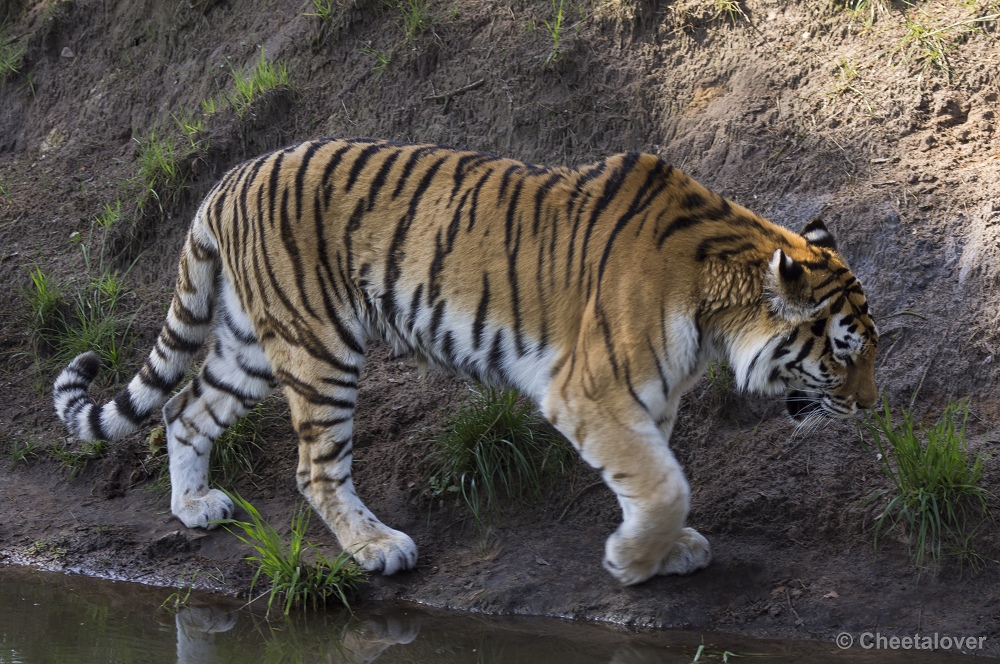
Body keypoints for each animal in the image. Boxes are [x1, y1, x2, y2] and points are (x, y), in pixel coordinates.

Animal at [50, 137, 880, 584]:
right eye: (842, 354)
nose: (870, 408)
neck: (715, 307)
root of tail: (230, 177)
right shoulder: (588, 390)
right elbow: (664, 480)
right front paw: (634, 561)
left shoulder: (648, 397)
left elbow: (655, 474)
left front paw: (661, 551)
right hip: (319, 345)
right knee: (314, 465)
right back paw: (377, 547)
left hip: (253, 343)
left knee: (185, 408)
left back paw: (194, 506)